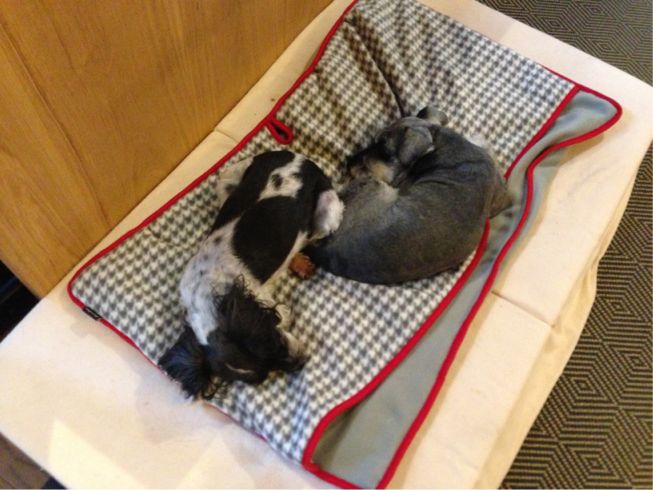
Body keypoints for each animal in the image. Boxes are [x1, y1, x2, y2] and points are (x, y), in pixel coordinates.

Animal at [161, 150, 344, 399]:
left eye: (274, 343)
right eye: (261, 377)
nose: (301, 363)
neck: (206, 295)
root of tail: (294, 157)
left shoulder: (271, 305)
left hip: (328, 209)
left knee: (311, 234)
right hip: (225, 182)